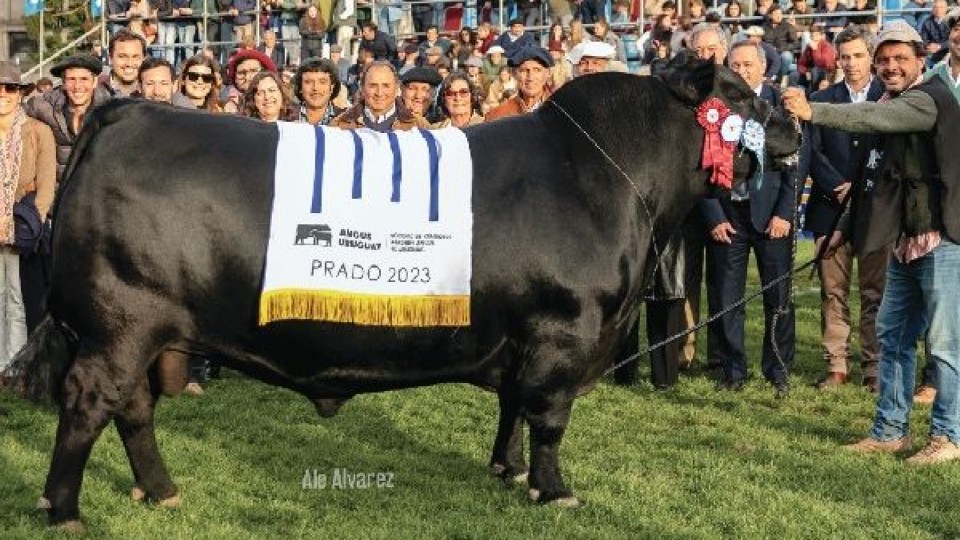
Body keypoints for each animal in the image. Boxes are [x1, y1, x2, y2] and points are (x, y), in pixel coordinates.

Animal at [7, 60, 800, 528]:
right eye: (737, 95)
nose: (794, 120)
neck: (607, 176)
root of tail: (127, 112)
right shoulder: (563, 330)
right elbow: (548, 415)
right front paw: (553, 488)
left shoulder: (523, 334)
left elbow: (513, 408)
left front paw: (507, 470)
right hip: (121, 323)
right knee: (92, 403)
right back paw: (65, 508)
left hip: (144, 332)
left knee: (133, 409)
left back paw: (160, 488)